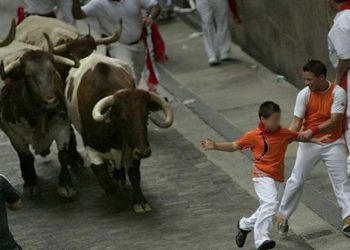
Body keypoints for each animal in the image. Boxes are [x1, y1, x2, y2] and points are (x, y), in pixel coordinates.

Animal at [65, 53, 174, 213]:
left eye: (146, 115)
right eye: (123, 118)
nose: (144, 151)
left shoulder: (132, 148)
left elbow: (135, 175)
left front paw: (140, 201)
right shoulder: (91, 148)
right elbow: (103, 176)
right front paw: (112, 186)